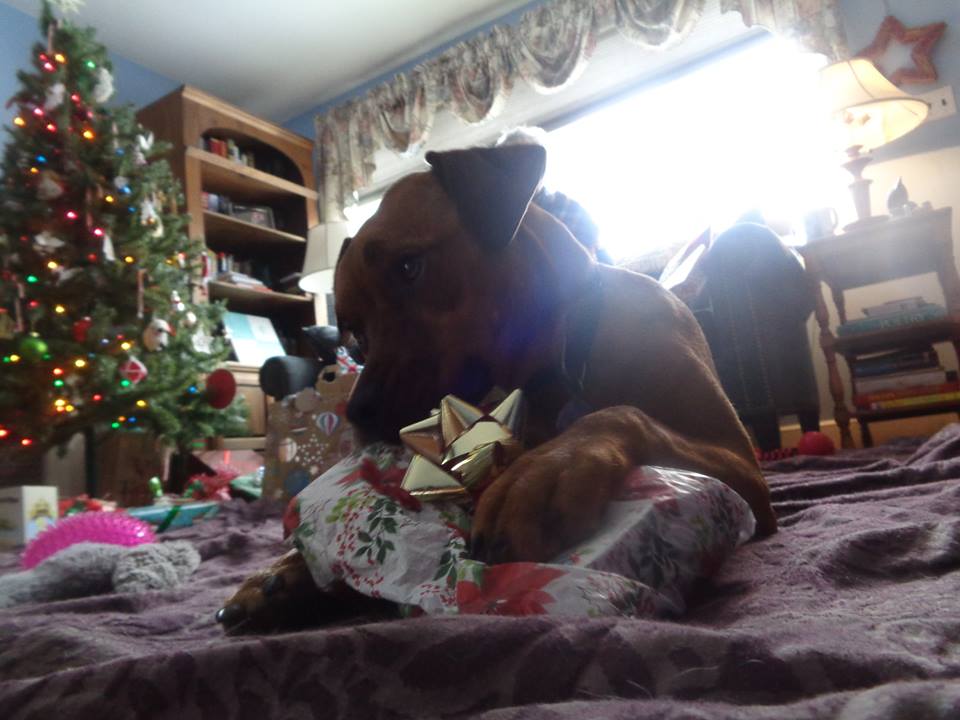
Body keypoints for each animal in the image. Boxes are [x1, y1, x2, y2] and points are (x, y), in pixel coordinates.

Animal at [216, 143, 776, 633]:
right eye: (353, 332)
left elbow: (620, 412)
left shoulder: (741, 467)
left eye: (408, 266)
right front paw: (289, 573)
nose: (360, 414)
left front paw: (541, 474)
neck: (568, 345)